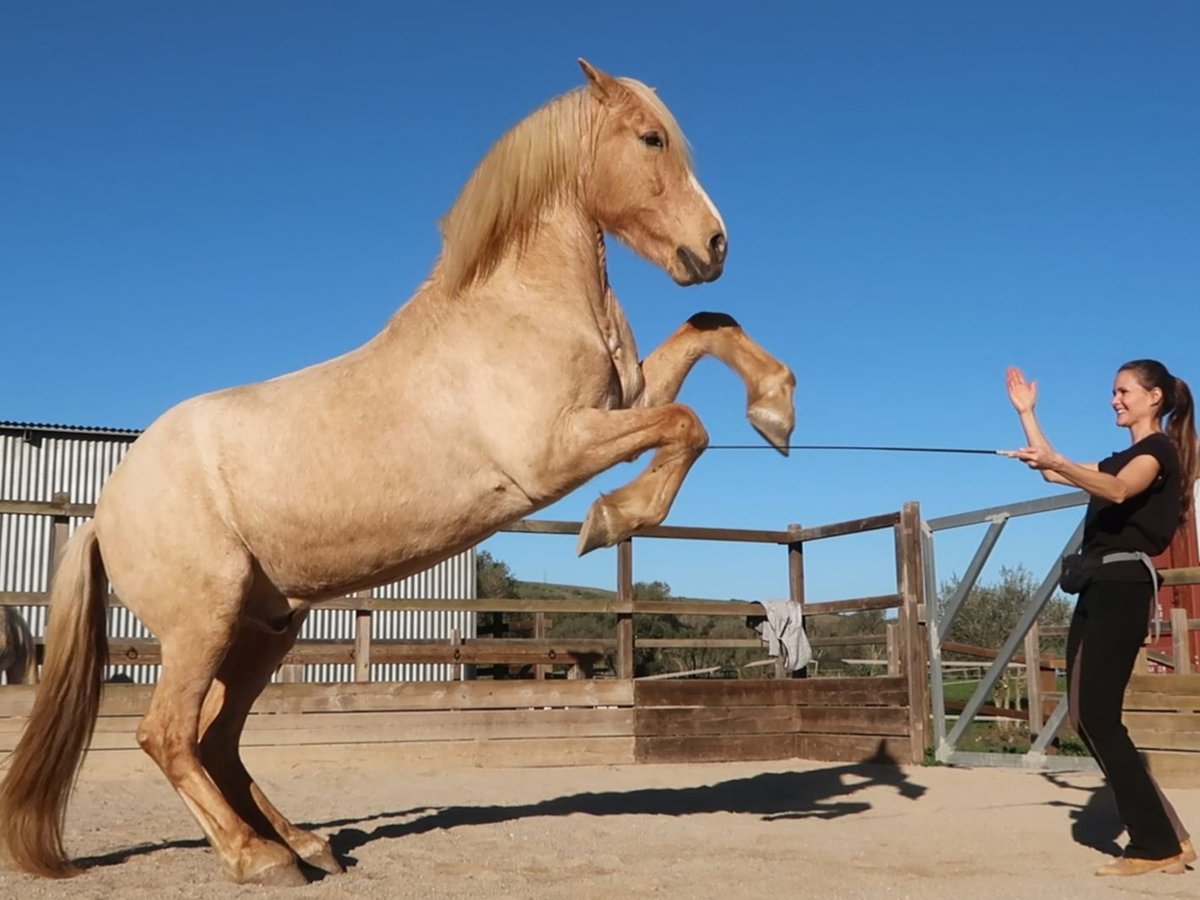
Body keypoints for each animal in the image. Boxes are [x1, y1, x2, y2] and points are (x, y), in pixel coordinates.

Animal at [0, 61, 792, 888]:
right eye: (650, 138)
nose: (714, 246)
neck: (518, 306)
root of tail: (103, 512)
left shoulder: (622, 403)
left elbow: (710, 331)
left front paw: (775, 412)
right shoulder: (556, 453)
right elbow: (689, 424)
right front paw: (611, 519)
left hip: (267, 627)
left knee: (218, 739)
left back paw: (308, 845)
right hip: (201, 626)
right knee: (168, 736)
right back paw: (259, 860)